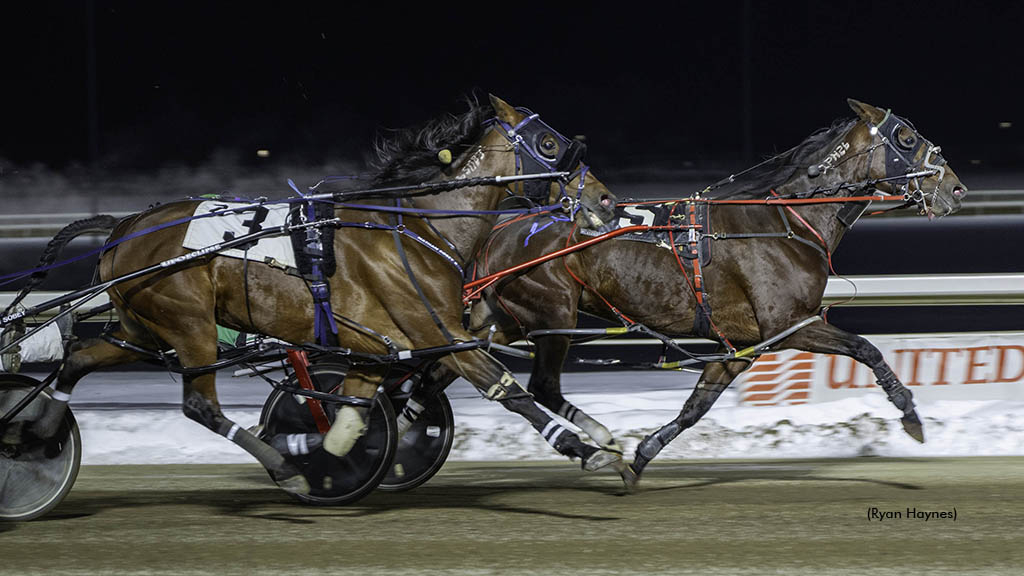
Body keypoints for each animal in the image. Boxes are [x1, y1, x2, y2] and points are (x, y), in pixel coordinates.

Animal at [28, 95, 622, 494]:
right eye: (549, 143)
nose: (605, 201)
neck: (419, 229)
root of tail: (124, 225)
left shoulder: (379, 349)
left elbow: (347, 424)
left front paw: (324, 450)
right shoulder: (440, 332)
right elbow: (507, 389)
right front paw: (588, 449)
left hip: (140, 329)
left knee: (78, 358)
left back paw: (38, 431)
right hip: (190, 327)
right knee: (199, 403)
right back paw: (281, 467)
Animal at [413, 99, 958, 483]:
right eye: (906, 136)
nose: (954, 188)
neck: (784, 220)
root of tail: (502, 230)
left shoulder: (743, 344)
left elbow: (697, 406)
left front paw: (641, 457)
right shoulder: (788, 326)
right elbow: (866, 348)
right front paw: (912, 417)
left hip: (503, 317)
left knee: (446, 366)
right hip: (550, 313)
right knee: (537, 383)